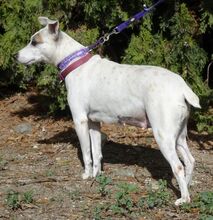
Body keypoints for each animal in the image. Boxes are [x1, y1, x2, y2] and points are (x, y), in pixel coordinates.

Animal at [15, 17, 201, 206]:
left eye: (34, 42)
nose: (15, 56)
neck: (75, 64)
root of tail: (182, 88)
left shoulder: (80, 120)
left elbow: (87, 153)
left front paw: (86, 175)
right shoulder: (94, 123)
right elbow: (97, 153)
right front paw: (96, 176)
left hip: (163, 135)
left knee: (178, 166)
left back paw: (183, 199)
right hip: (178, 136)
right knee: (190, 161)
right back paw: (188, 186)